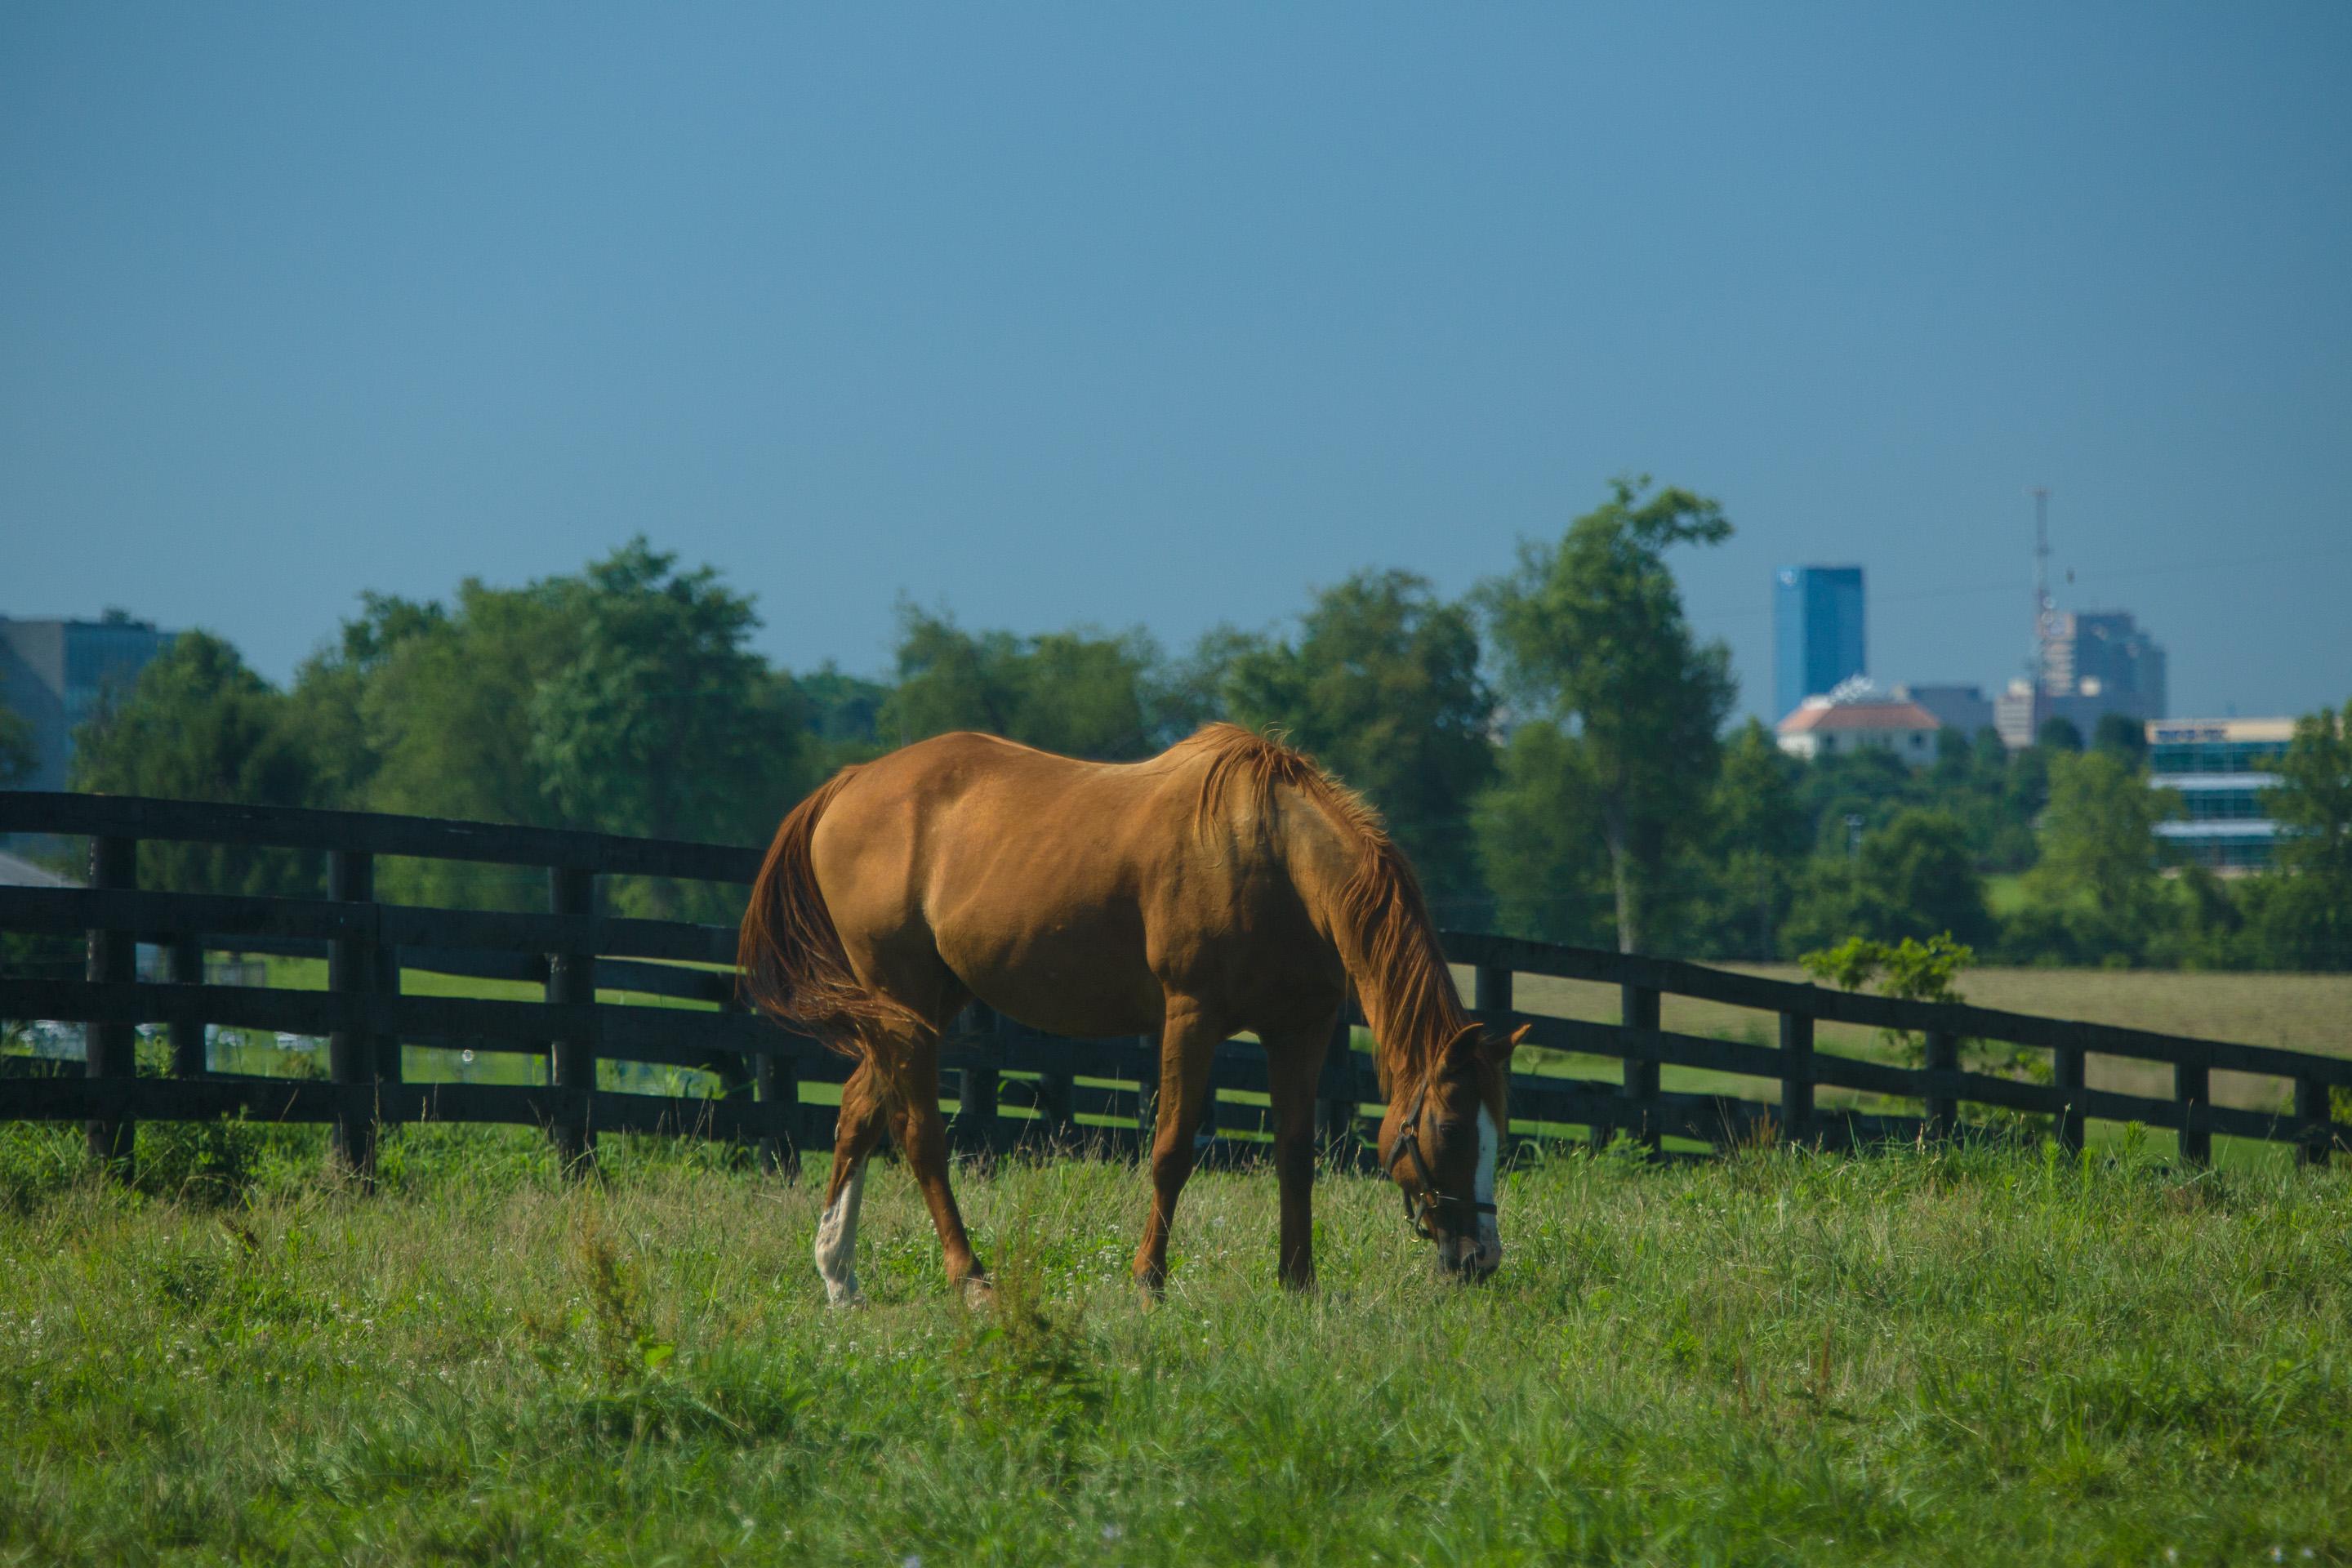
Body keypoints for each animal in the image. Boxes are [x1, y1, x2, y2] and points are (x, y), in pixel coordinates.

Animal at [733, 724, 1524, 1297]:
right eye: (1453, 1129)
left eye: (1500, 1126)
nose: (1480, 1257)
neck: (1274, 858)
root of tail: (850, 784)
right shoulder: (1191, 1017)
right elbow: (1171, 1150)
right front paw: (1149, 1280)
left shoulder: (1301, 1030)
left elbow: (1296, 1156)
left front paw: (1299, 1284)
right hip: (902, 1003)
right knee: (919, 1133)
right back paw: (970, 1278)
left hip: (922, 1003)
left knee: (857, 1116)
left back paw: (839, 1279)